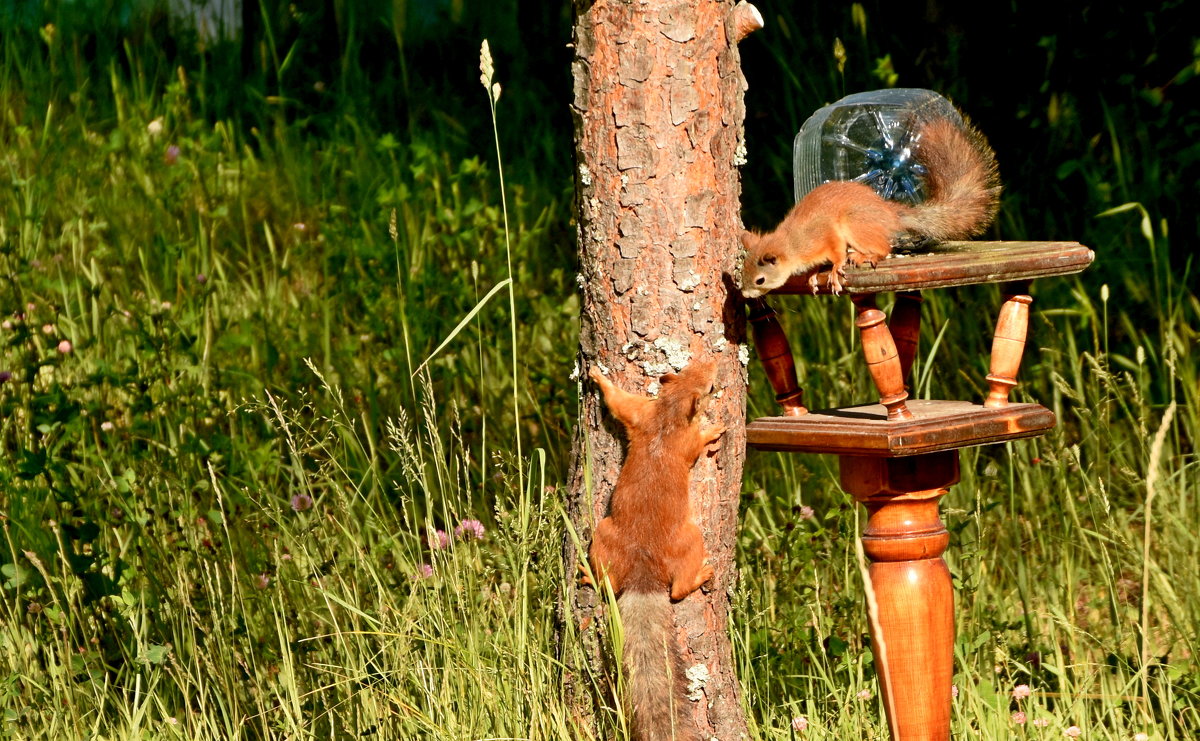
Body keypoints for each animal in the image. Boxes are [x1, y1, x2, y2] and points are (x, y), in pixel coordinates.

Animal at [583, 359, 720, 738]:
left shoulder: (640, 413)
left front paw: (598, 378)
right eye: (708, 388)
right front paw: (715, 430)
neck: (667, 415)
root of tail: (643, 576)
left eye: (689, 368)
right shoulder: (679, 437)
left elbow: (619, 402)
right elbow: (697, 443)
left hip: (604, 535)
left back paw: (588, 573)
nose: (713, 363)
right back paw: (701, 573)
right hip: (690, 537)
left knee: (609, 584)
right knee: (677, 590)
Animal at [739, 113, 1003, 296]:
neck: (792, 243)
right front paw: (813, 274)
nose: (744, 294)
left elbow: (836, 252)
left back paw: (862, 256)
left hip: (856, 223)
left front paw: (834, 270)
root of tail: (889, 213)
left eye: (760, 280)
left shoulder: (825, 235)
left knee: (883, 248)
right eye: (742, 272)